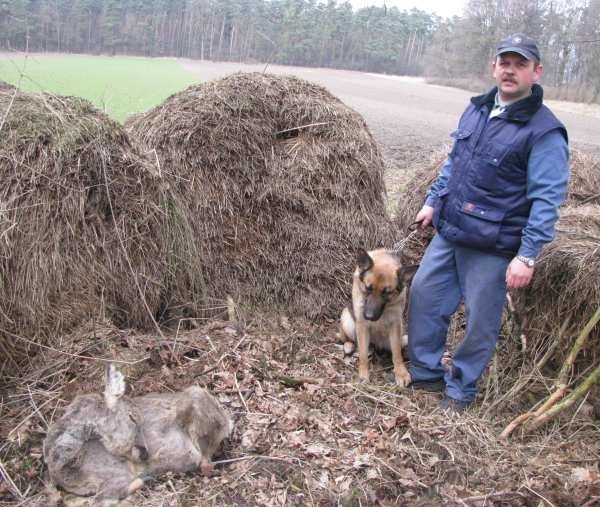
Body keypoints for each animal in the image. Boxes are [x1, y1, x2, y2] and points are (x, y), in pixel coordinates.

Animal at [340, 249, 420, 384]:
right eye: (368, 288)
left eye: (386, 292)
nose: (369, 316)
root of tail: (376, 344)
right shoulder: (362, 325)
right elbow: (362, 354)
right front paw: (363, 375)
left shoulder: (395, 325)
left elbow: (397, 353)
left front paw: (401, 373)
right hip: (348, 321)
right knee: (350, 341)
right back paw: (349, 346)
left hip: (402, 336)